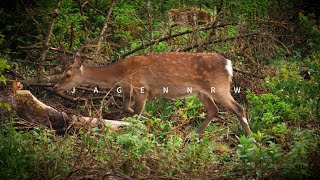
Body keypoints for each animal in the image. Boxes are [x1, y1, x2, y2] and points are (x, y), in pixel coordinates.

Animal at [53, 52, 251, 135]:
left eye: (67, 74)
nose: (55, 87)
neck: (120, 75)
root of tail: (229, 65)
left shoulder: (142, 89)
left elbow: (135, 112)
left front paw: (144, 124)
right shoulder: (129, 91)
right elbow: (126, 108)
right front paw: (152, 121)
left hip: (218, 86)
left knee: (238, 108)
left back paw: (251, 138)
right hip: (201, 92)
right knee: (213, 110)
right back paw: (194, 135)